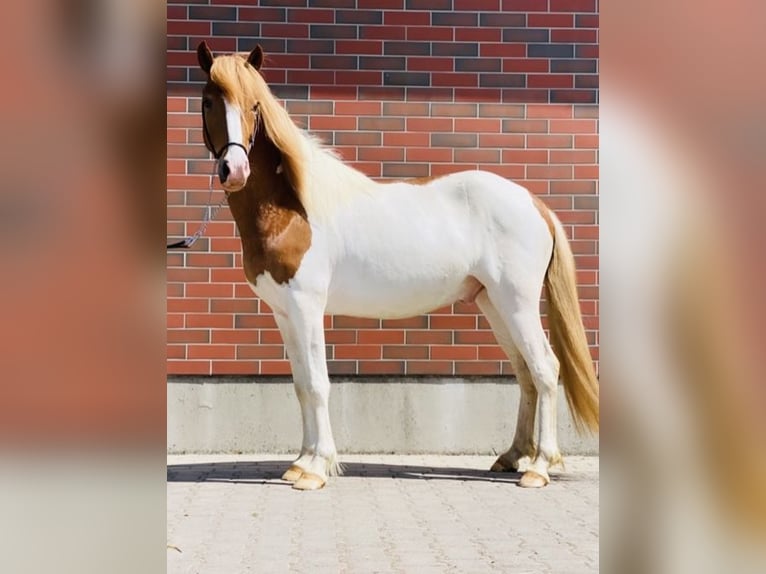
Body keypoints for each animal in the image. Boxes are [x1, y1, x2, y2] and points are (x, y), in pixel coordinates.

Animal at [194, 41, 599, 490]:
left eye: (255, 105)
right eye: (209, 100)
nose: (234, 170)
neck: (292, 208)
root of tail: (535, 203)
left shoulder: (307, 307)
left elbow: (317, 384)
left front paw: (316, 469)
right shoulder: (284, 312)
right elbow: (300, 385)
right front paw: (300, 461)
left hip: (518, 303)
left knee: (545, 369)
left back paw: (539, 467)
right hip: (493, 304)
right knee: (524, 372)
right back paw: (512, 457)